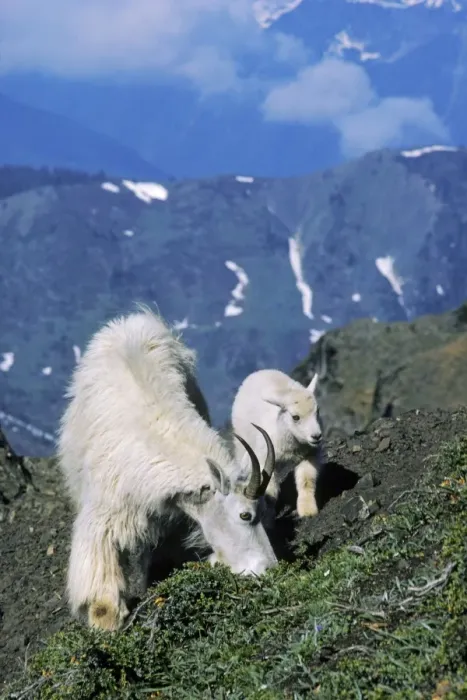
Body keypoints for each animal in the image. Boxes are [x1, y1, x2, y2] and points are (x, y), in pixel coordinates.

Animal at [57, 305, 277, 631]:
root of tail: (131, 320)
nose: (269, 568)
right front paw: (106, 618)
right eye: (245, 515)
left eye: (263, 510)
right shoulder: (106, 510)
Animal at [231, 369, 324, 523]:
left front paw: (307, 510)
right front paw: (268, 518)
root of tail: (258, 372)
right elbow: (270, 492)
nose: (316, 436)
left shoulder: (310, 455)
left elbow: (306, 480)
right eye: (295, 417)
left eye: (317, 411)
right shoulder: (266, 460)